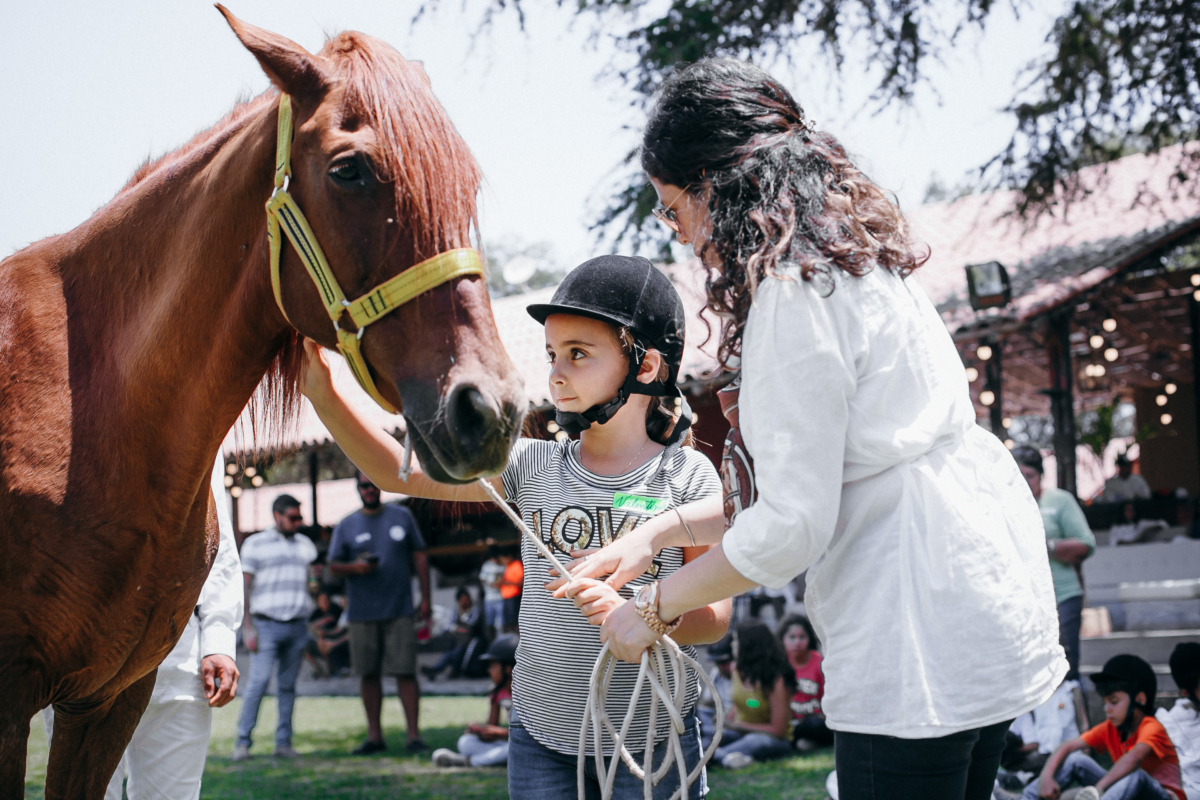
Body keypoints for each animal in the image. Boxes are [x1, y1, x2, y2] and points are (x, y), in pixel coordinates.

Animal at [1, 6, 525, 796]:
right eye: (349, 169)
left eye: (465, 180)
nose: (486, 410)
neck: (88, 406)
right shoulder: (11, 700)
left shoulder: (109, 700)